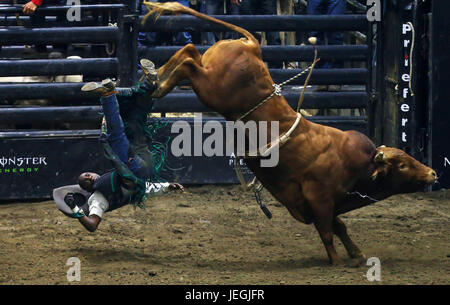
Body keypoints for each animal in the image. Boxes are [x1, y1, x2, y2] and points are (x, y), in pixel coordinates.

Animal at [143, 1, 436, 264]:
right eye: (402, 165)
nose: (432, 173)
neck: (358, 164)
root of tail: (253, 46)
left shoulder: (326, 203)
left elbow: (339, 226)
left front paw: (357, 253)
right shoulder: (319, 198)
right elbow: (327, 232)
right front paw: (337, 262)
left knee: (189, 51)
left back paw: (154, 75)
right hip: (212, 87)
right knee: (189, 61)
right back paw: (157, 80)